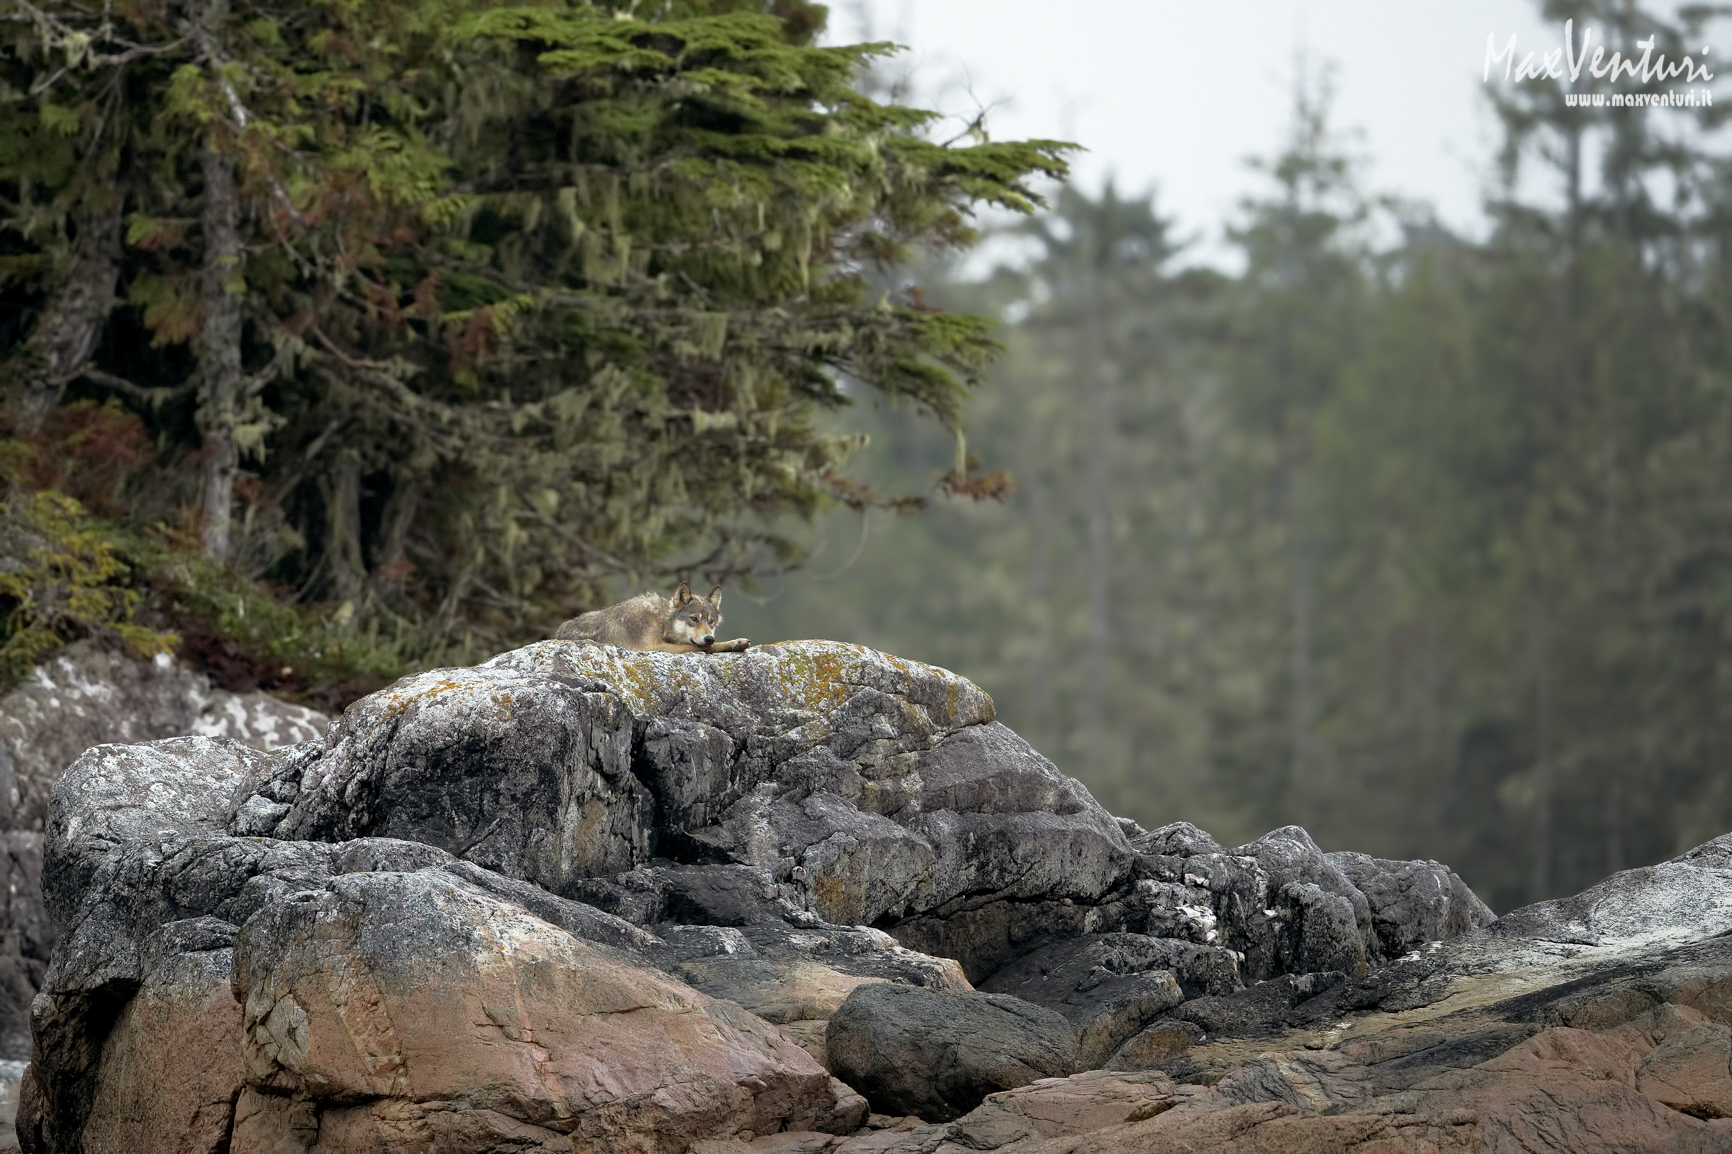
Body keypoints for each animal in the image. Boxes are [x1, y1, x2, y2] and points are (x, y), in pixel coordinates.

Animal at [553, 583, 749, 653]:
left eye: (711, 621)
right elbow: (698, 647)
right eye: (694, 619)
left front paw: (735, 642)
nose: (709, 637)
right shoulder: (652, 647)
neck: (660, 620)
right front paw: (730, 644)